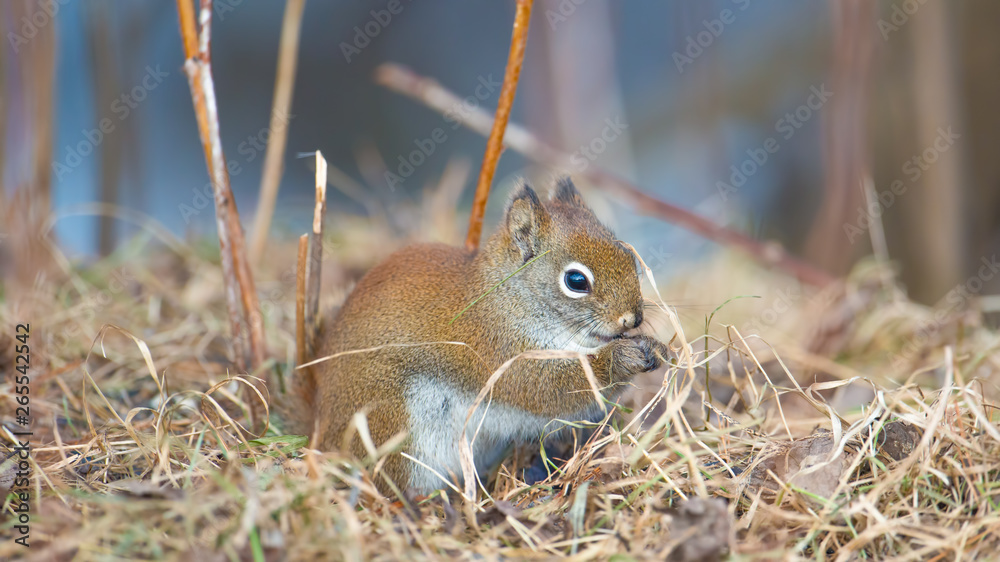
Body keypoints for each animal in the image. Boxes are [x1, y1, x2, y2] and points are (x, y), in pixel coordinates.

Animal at [281, 177, 668, 494]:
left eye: (627, 255)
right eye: (576, 281)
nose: (632, 318)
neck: (511, 298)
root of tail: (321, 431)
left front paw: (653, 347)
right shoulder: (496, 350)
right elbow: (550, 389)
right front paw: (621, 359)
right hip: (392, 426)